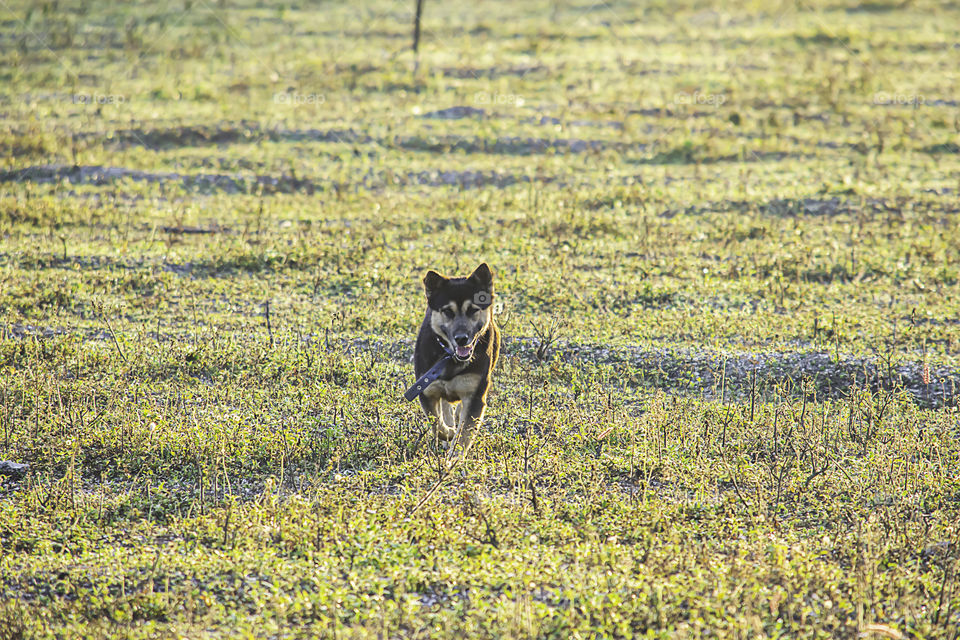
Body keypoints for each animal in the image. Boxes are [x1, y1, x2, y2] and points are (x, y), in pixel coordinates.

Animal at [404, 262, 502, 458]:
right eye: (448, 311)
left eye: (473, 310)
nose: (461, 339)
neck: (450, 357)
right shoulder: (426, 389)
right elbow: (436, 423)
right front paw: (448, 433)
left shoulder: (475, 395)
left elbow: (464, 433)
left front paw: (454, 460)